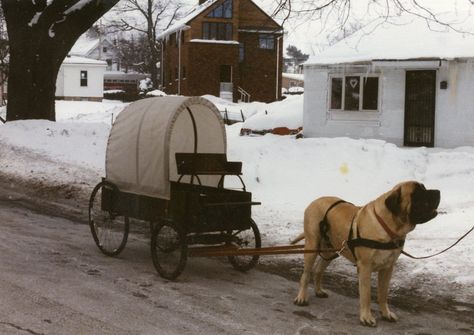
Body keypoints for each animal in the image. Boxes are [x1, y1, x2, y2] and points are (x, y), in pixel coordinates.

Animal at [292, 182, 440, 326]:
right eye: (417, 193)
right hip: (312, 245)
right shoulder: (365, 267)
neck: (388, 226)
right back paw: (301, 297)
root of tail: (315, 201)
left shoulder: (388, 268)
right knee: (306, 274)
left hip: (331, 250)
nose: (438, 191)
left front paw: (386, 313)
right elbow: (366, 294)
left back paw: (318, 291)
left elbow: (383, 293)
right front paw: (366, 317)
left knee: (318, 270)